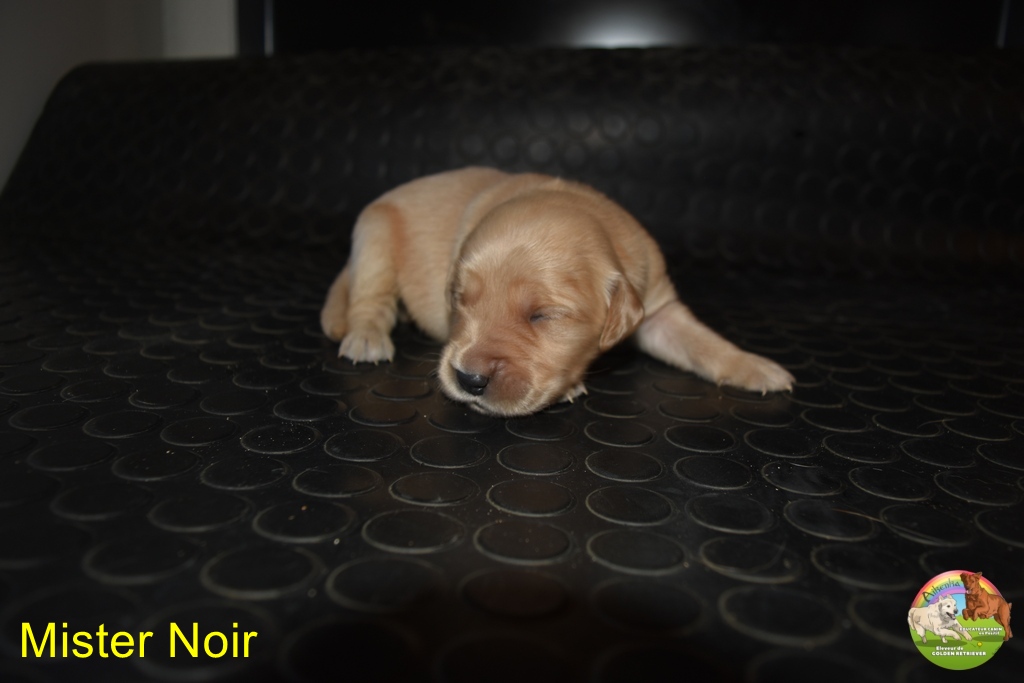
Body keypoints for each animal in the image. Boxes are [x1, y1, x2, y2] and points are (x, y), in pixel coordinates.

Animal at [320, 167, 794, 416]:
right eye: (459, 300)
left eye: (542, 316)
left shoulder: (658, 309)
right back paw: (367, 337)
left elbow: (702, 343)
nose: (468, 379)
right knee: (371, 300)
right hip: (375, 235)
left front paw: (754, 366)